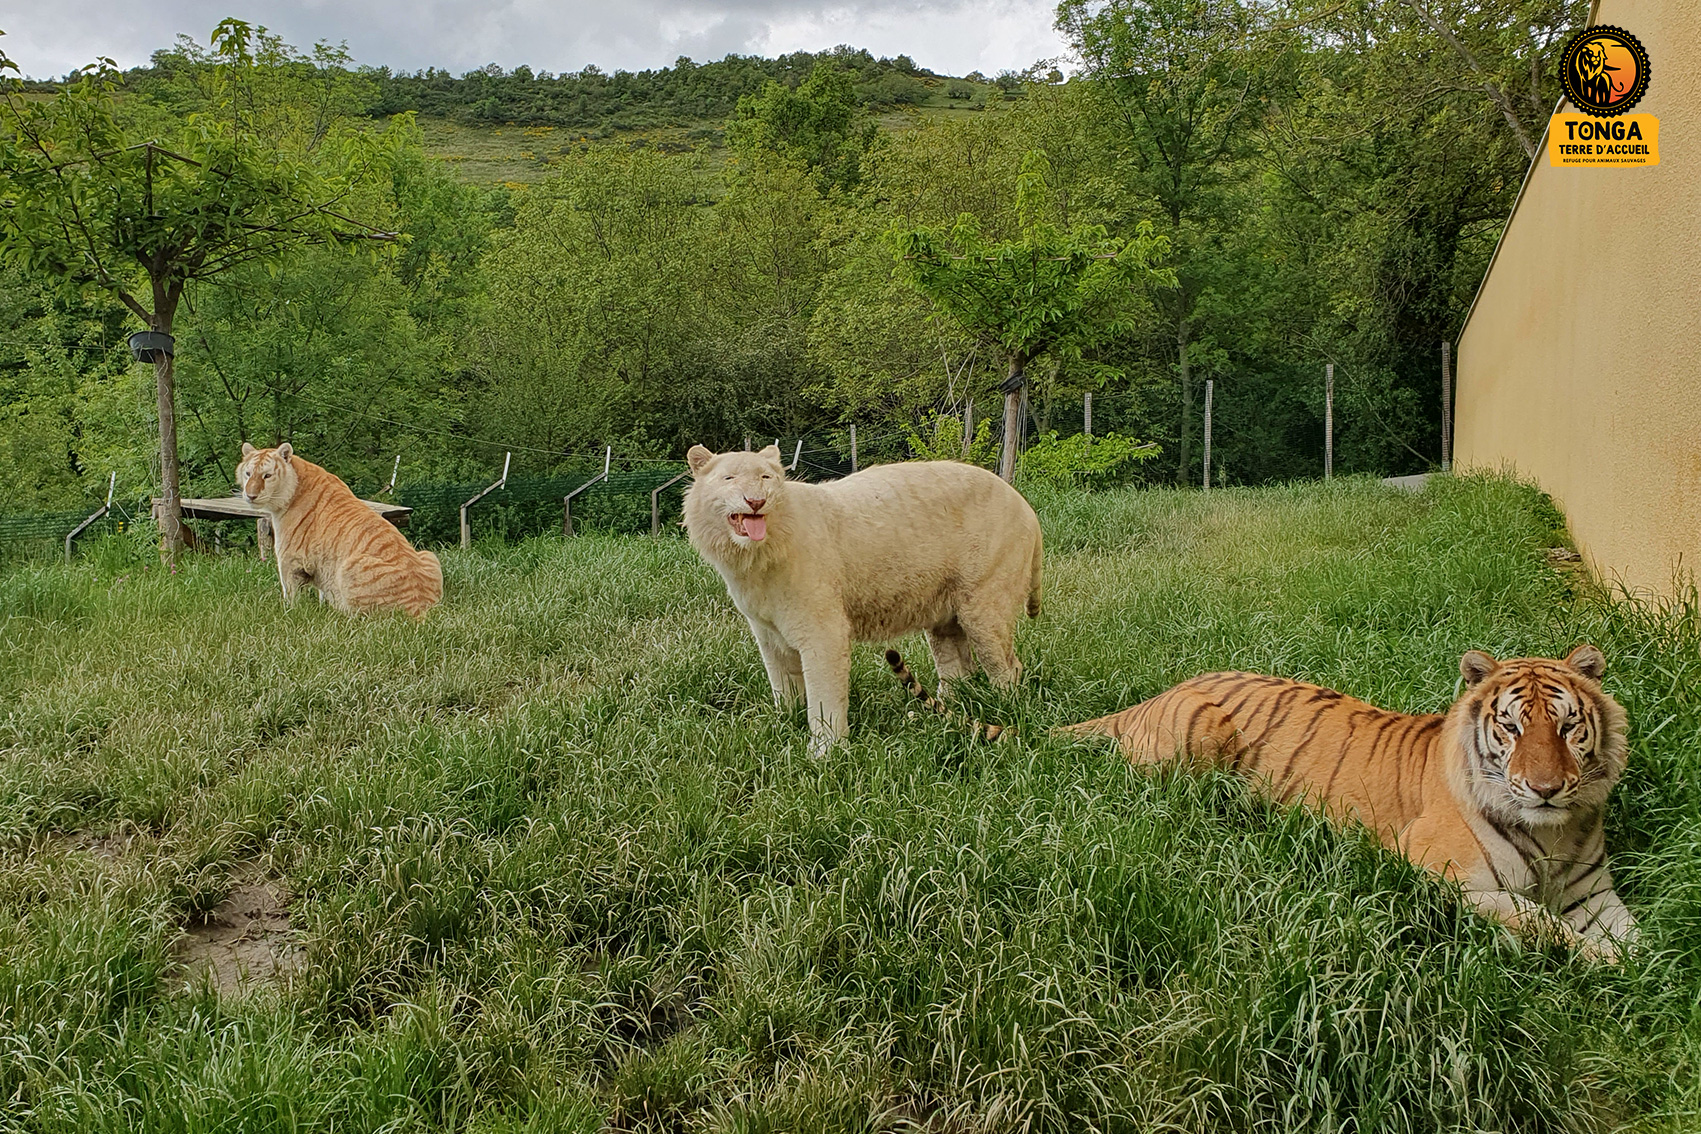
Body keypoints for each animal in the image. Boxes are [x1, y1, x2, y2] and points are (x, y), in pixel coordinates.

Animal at [237, 442, 443, 619]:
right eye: (248, 473)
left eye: (267, 476)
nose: (250, 495)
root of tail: (420, 607)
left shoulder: (289, 559)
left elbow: (291, 594)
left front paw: (289, 613)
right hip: (429, 554)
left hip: (349, 567)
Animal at [888, 645, 1637, 960]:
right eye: (1511, 728)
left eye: (1566, 727)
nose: (1544, 788)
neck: (1553, 834)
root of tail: (1153, 697)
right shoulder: (1439, 876)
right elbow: (1539, 924)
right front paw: (1601, 963)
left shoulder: (1594, 891)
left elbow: (1635, 936)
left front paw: (1648, 974)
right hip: (1195, 744)